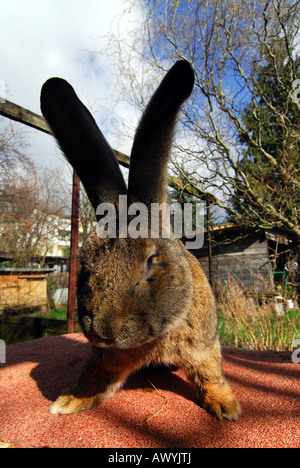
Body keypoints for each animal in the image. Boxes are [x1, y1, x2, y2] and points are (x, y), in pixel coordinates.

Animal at [40, 59, 241, 420]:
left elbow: (210, 374)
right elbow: (95, 377)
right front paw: (69, 401)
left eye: (150, 263)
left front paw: (226, 407)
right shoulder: (107, 359)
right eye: (85, 268)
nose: (103, 331)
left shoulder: (203, 348)